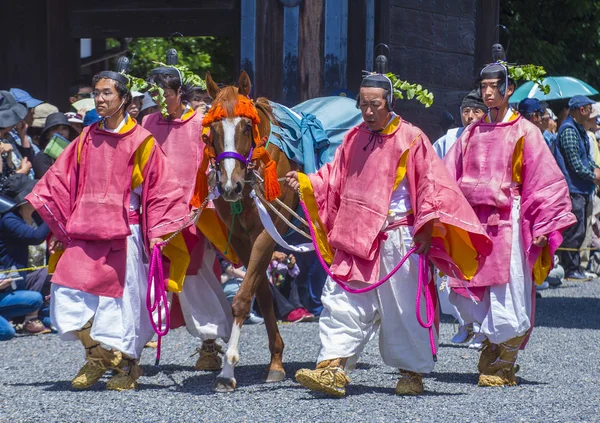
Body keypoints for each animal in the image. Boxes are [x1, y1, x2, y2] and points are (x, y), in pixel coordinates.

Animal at [202, 70, 302, 394]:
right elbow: (261, 292)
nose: (229, 185)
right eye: (212, 129)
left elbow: (243, 298)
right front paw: (276, 361)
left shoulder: (268, 231)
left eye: (246, 126)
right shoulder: (241, 238)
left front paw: (228, 368)